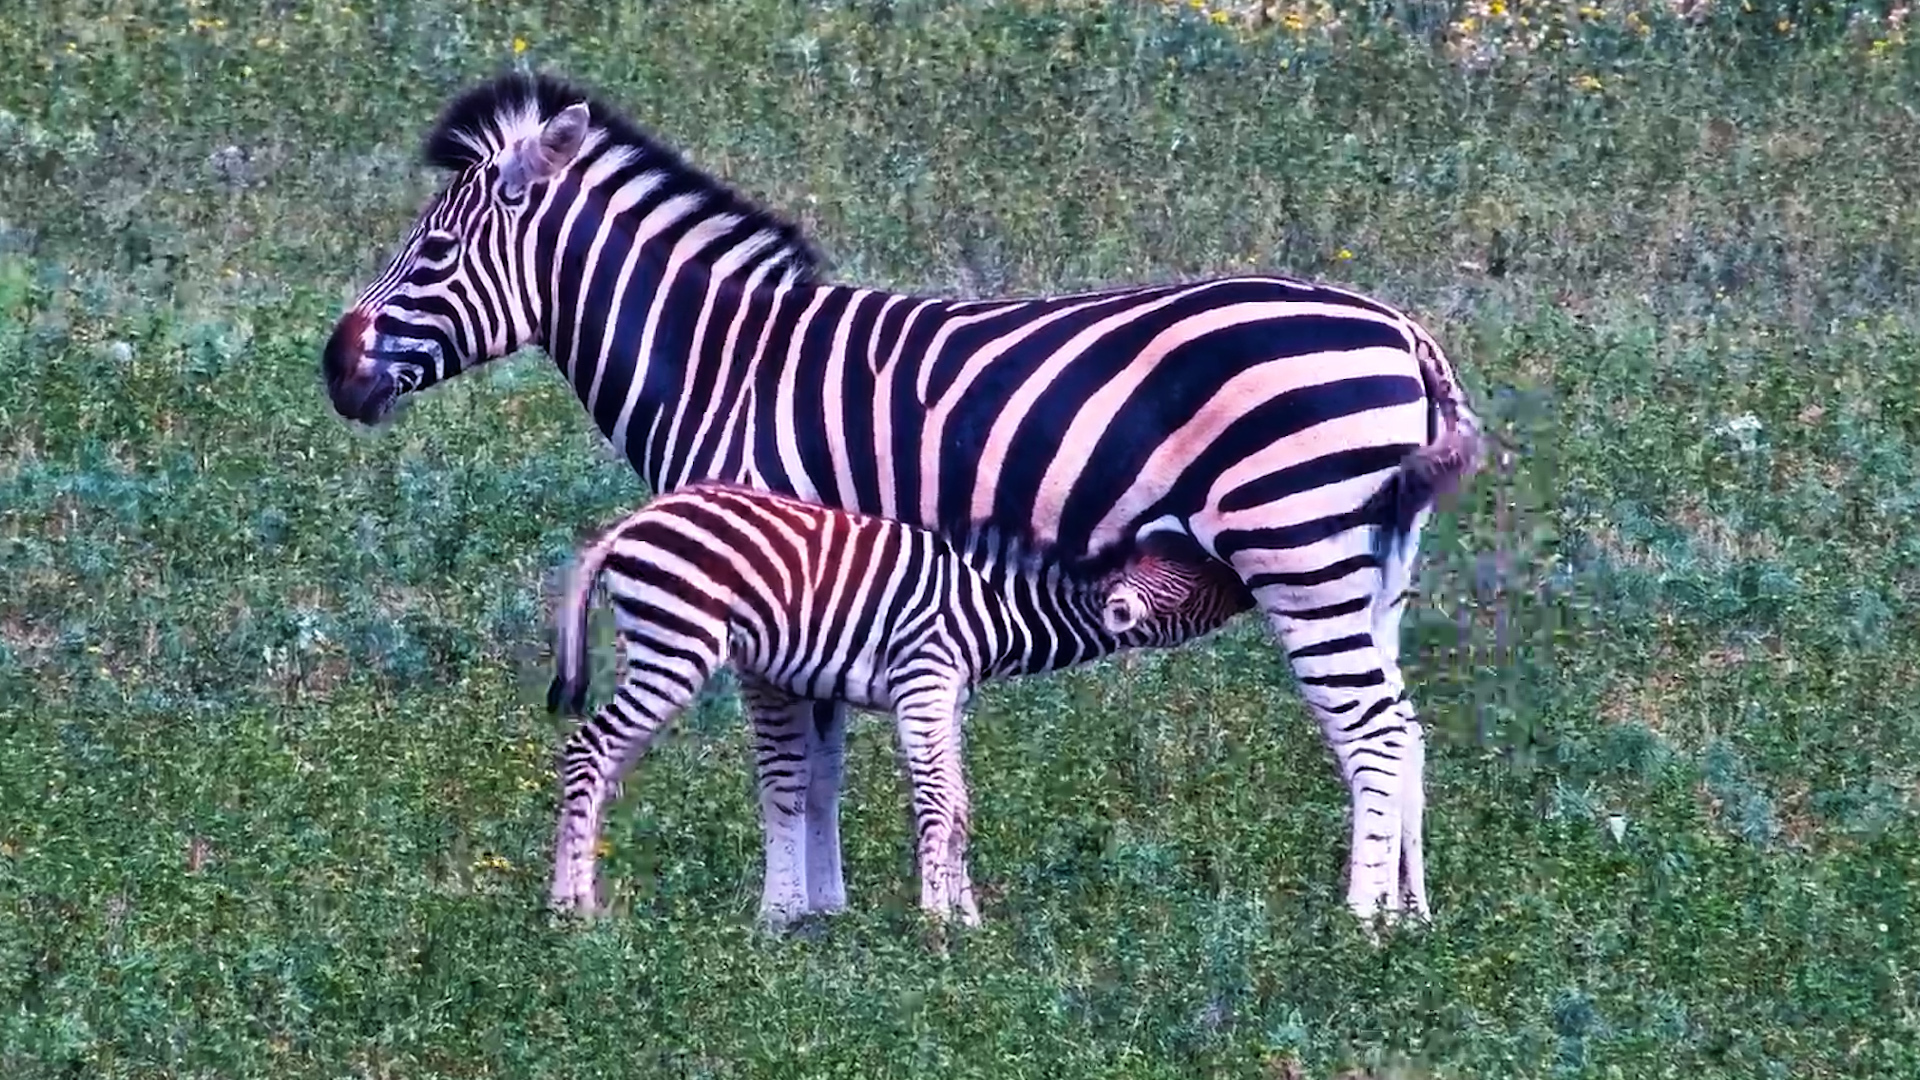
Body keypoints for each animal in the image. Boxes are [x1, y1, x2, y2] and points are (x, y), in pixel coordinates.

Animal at [544, 481, 1252, 924]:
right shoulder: (925, 681)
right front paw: (936, 925)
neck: (992, 606)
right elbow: (939, 801)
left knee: (603, 763)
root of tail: (628, 525)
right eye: (1203, 581)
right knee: (587, 750)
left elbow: (960, 803)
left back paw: (586, 898)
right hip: (676, 645)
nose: (1253, 572)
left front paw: (967, 920)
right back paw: (571, 911)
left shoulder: (949, 696)